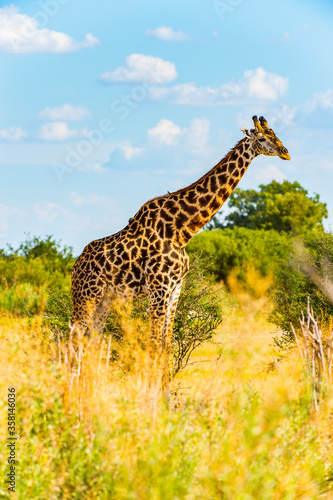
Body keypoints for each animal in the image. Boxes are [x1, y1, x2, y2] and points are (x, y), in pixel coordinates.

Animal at [71, 115, 290, 384]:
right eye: (261, 137)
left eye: (275, 134)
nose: (285, 152)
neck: (182, 230)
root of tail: (74, 268)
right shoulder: (159, 289)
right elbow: (154, 343)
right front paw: (151, 392)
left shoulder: (175, 289)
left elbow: (166, 345)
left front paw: (164, 392)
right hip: (85, 297)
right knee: (74, 340)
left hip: (104, 300)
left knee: (91, 341)